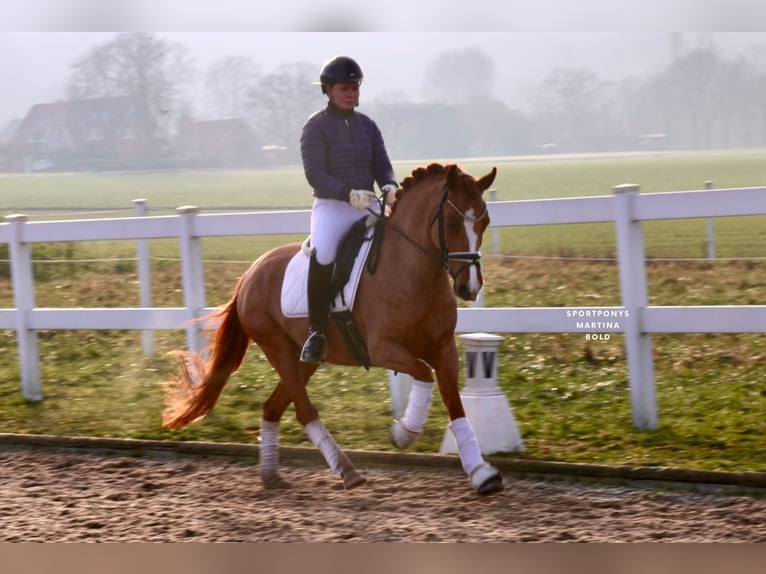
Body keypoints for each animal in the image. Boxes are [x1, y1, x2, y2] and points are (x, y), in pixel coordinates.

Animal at [164, 164, 504, 498]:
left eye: (485, 221)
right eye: (451, 223)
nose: (470, 287)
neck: (414, 273)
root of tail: (250, 273)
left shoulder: (444, 349)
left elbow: (455, 405)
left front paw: (482, 473)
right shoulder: (383, 349)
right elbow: (424, 375)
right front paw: (403, 433)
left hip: (303, 360)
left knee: (273, 407)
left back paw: (271, 476)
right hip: (279, 350)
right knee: (304, 411)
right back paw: (346, 471)